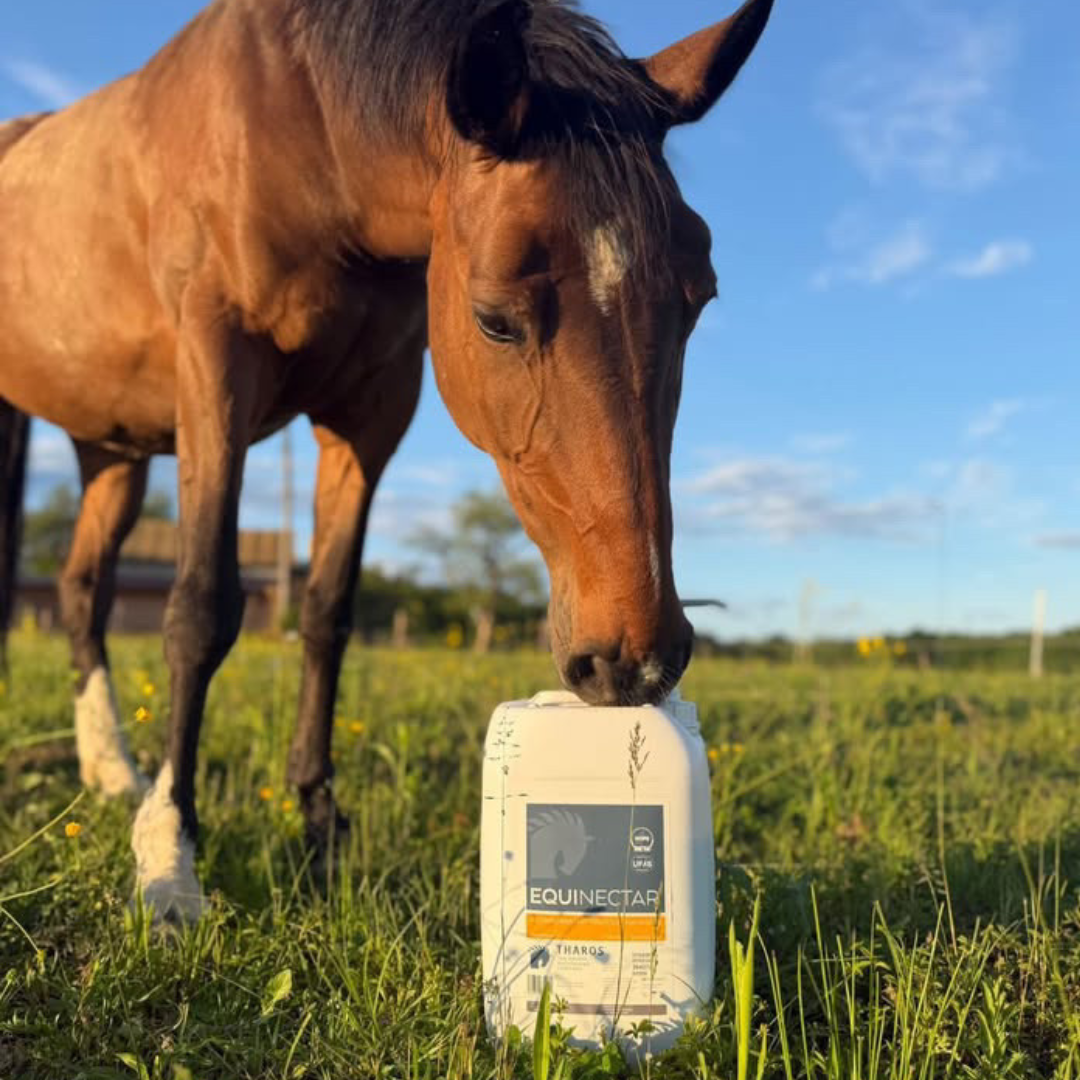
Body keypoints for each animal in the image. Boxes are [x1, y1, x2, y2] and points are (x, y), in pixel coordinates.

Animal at [0, 0, 774, 921]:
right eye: (495, 319)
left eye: (700, 297)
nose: (636, 657)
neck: (301, 135)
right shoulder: (215, 370)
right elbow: (199, 612)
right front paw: (171, 861)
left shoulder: (369, 419)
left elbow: (328, 613)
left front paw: (320, 829)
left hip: (112, 449)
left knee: (84, 588)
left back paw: (110, 768)